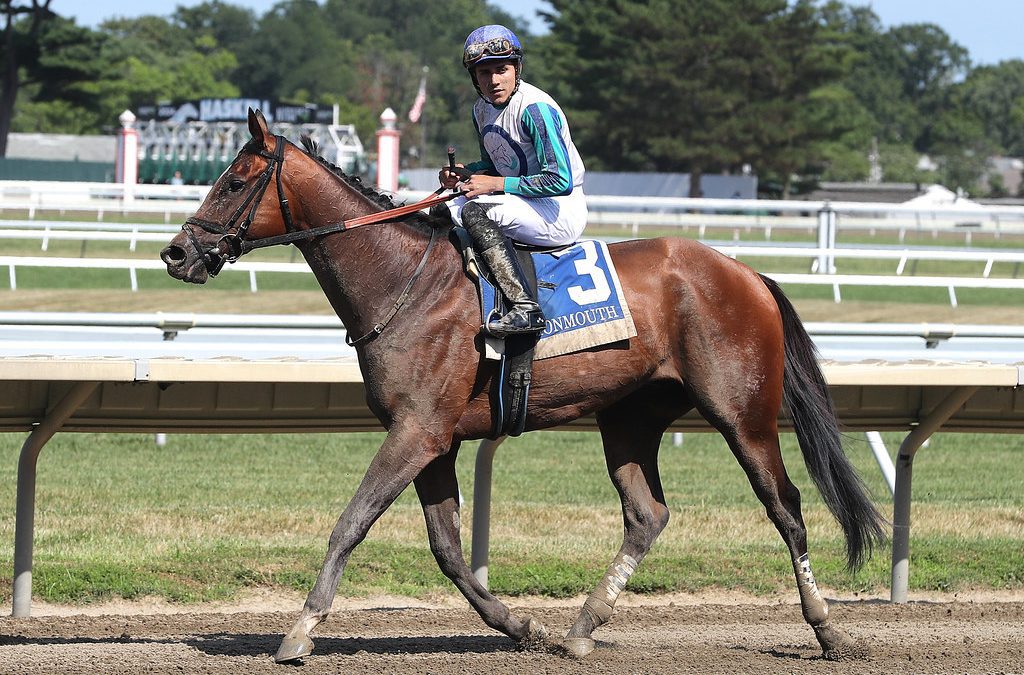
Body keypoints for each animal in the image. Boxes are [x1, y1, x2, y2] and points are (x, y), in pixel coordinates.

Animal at [161, 109, 886, 663]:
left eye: (234, 181)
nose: (177, 253)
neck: (403, 281)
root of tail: (748, 273)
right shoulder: (435, 438)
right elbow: (449, 550)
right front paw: (522, 624)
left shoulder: (417, 430)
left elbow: (351, 524)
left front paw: (300, 631)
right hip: (630, 416)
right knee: (647, 514)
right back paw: (579, 629)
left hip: (743, 413)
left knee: (786, 507)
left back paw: (828, 629)